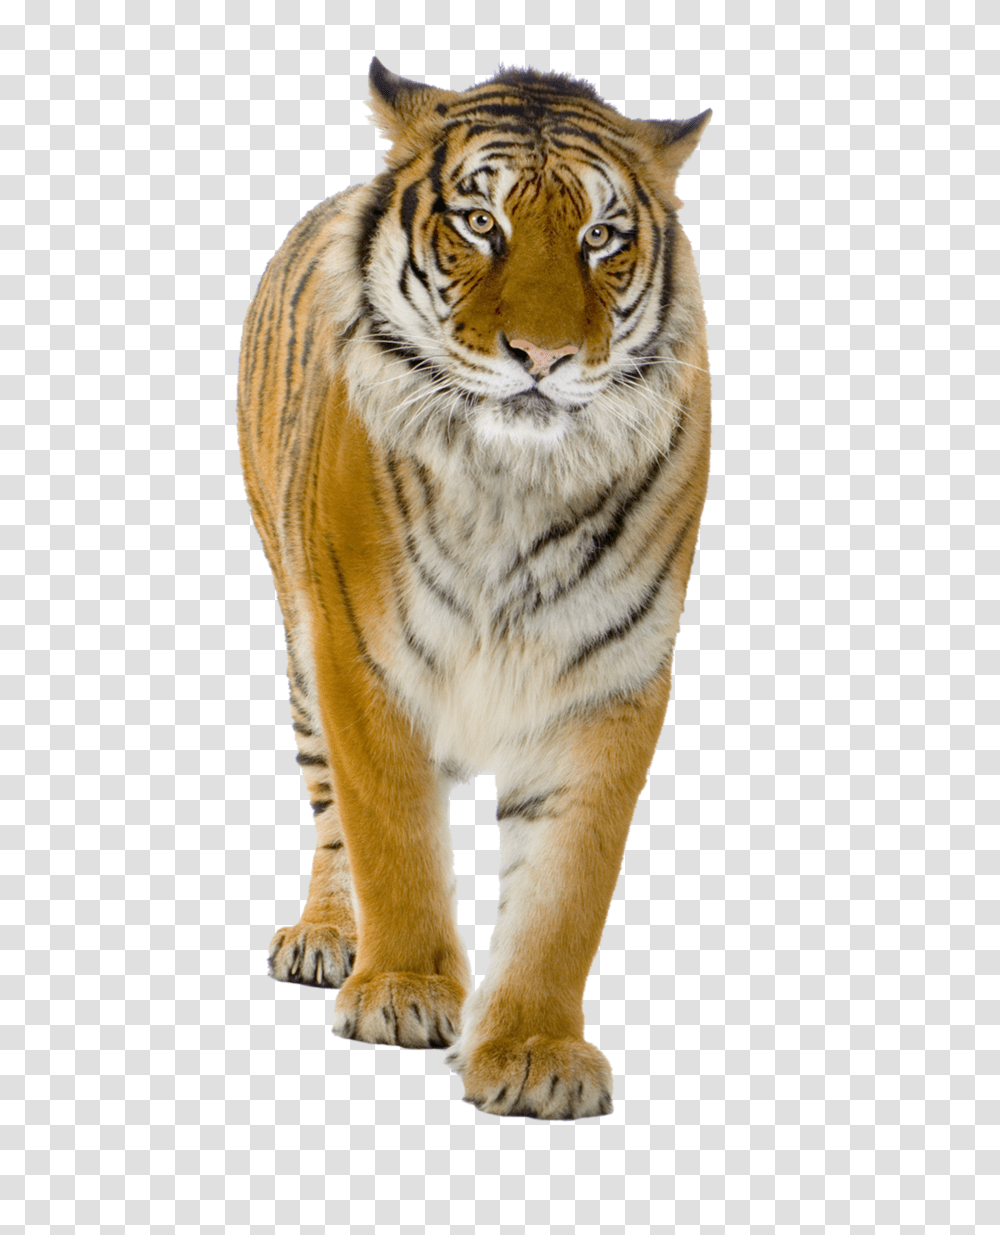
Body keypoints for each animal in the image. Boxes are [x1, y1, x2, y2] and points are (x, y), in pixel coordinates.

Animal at [237, 57, 712, 1120]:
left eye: (601, 236)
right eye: (481, 222)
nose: (542, 357)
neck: (513, 482)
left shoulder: (610, 681)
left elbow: (565, 891)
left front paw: (536, 1049)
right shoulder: (361, 655)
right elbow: (393, 838)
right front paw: (404, 990)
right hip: (296, 638)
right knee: (330, 815)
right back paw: (329, 936)